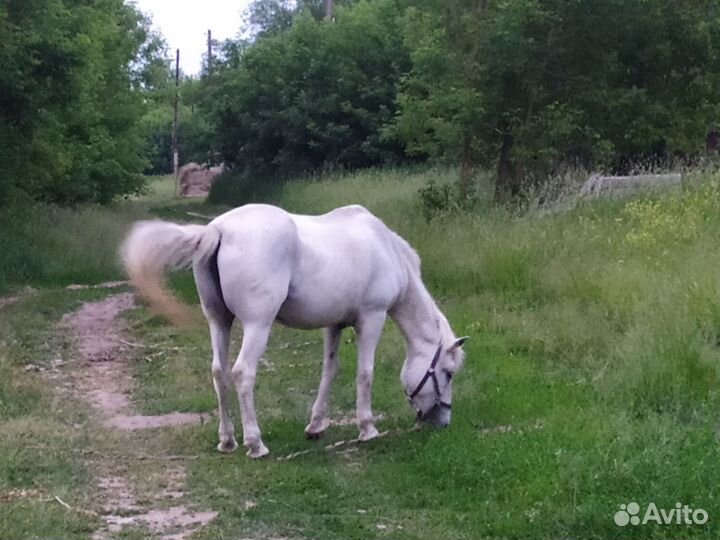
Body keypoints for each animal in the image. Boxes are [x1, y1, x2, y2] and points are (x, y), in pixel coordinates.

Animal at [121, 203, 467, 458]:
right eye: (448, 373)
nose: (443, 422)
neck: (385, 250)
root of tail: (218, 230)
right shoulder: (372, 317)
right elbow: (364, 373)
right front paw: (367, 428)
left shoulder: (334, 324)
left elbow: (330, 370)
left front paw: (315, 426)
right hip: (257, 325)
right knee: (242, 372)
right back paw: (255, 444)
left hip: (219, 322)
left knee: (219, 373)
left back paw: (228, 440)